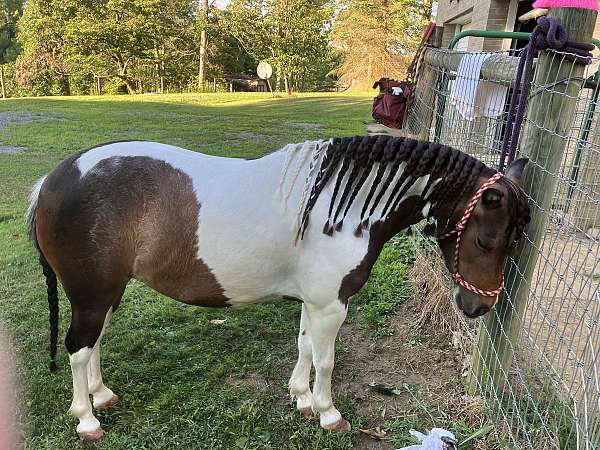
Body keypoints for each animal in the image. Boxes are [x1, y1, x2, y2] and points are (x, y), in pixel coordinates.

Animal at [27, 135, 528, 442]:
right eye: (486, 240)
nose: (479, 306)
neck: (343, 208)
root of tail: (53, 180)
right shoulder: (332, 305)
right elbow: (325, 361)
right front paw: (327, 412)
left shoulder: (316, 302)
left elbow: (305, 347)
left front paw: (301, 398)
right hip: (92, 295)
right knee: (78, 348)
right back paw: (87, 419)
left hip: (104, 294)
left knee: (93, 343)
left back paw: (101, 395)